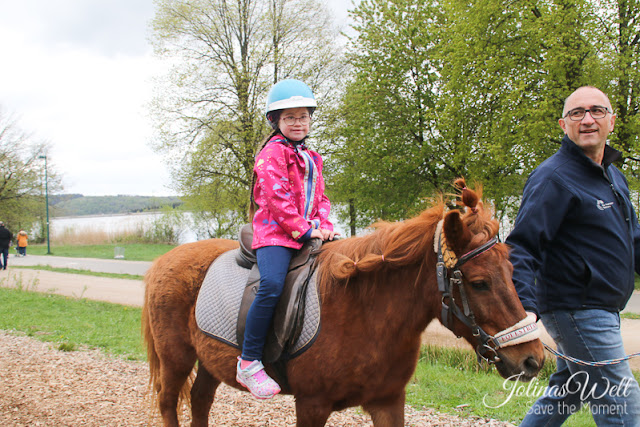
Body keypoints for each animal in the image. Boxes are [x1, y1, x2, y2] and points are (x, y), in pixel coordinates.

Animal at [142, 181, 544, 427]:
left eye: (512, 270)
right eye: (479, 283)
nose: (533, 359)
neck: (363, 311)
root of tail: (162, 261)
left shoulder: (388, 401)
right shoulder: (311, 405)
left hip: (209, 362)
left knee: (200, 400)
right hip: (175, 359)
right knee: (168, 402)